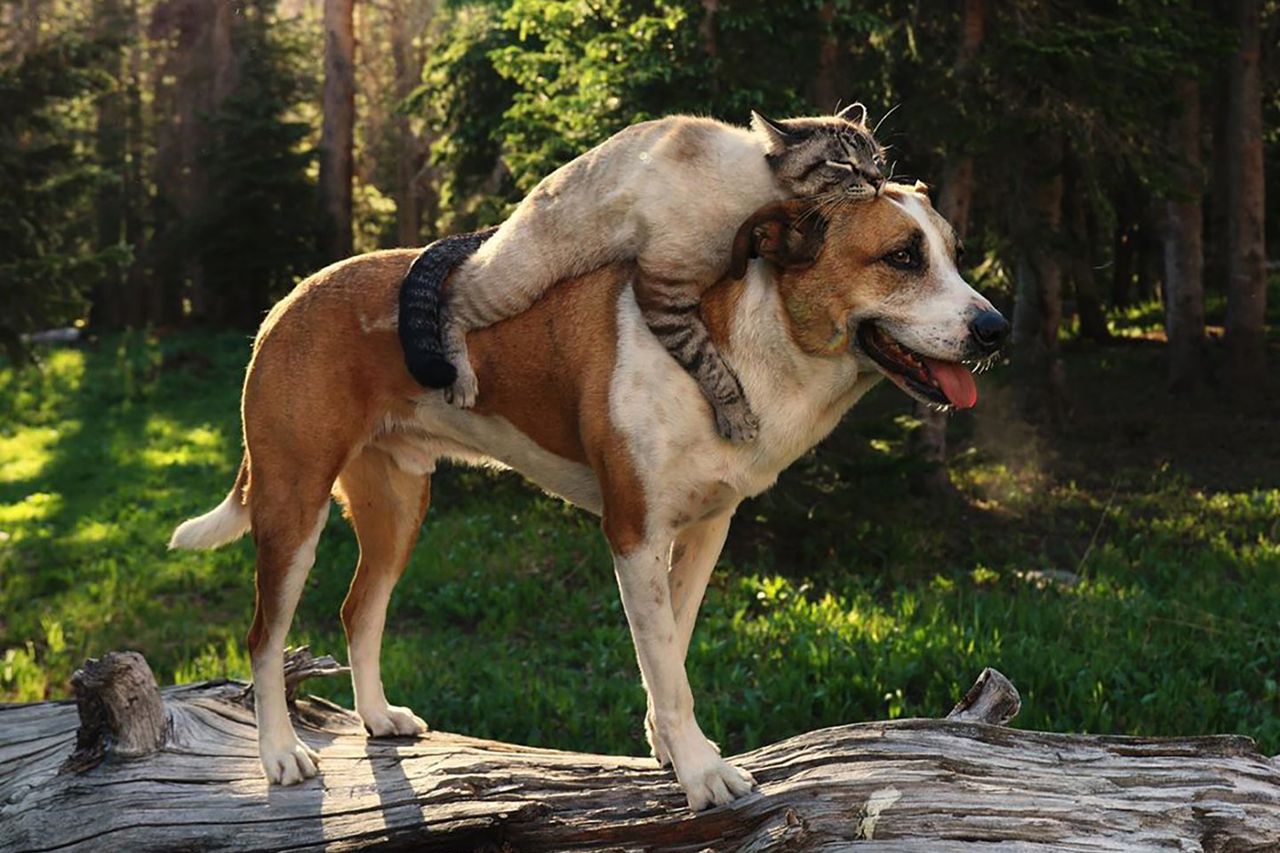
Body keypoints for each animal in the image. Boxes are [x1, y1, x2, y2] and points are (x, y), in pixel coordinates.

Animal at [170, 183, 1008, 809]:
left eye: (956, 254)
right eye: (902, 257)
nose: (996, 328)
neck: (734, 344)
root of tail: (292, 299)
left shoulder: (705, 530)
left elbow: (671, 647)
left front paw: (671, 749)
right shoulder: (634, 533)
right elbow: (666, 665)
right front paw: (701, 771)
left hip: (400, 506)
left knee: (359, 609)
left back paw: (377, 716)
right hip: (292, 504)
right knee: (265, 636)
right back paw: (280, 752)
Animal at [396, 103, 880, 440]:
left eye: (877, 157)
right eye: (841, 163)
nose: (877, 179)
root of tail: (515, 211)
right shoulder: (662, 290)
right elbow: (712, 368)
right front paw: (738, 421)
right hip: (518, 281)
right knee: (455, 295)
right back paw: (461, 381)